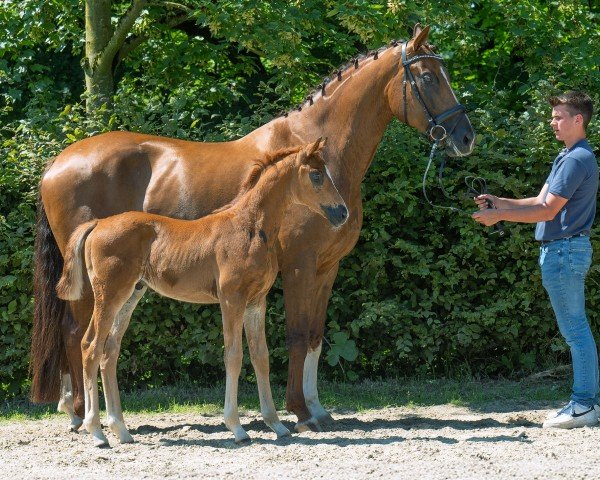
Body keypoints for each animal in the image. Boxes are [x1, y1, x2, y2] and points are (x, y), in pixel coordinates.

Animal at [56, 140, 346, 446]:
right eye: (317, 175)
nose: (342, 212)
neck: (251, 227)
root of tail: (97, 224)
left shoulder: (256, 301)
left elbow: (261, 356)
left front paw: (276, 425)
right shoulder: (231, 299)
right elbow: (234, 356)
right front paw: (237, 428)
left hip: (130, 295)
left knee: (109, 351)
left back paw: (121, 430)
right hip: (109, 295)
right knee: (90, 346)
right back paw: (97, 432)